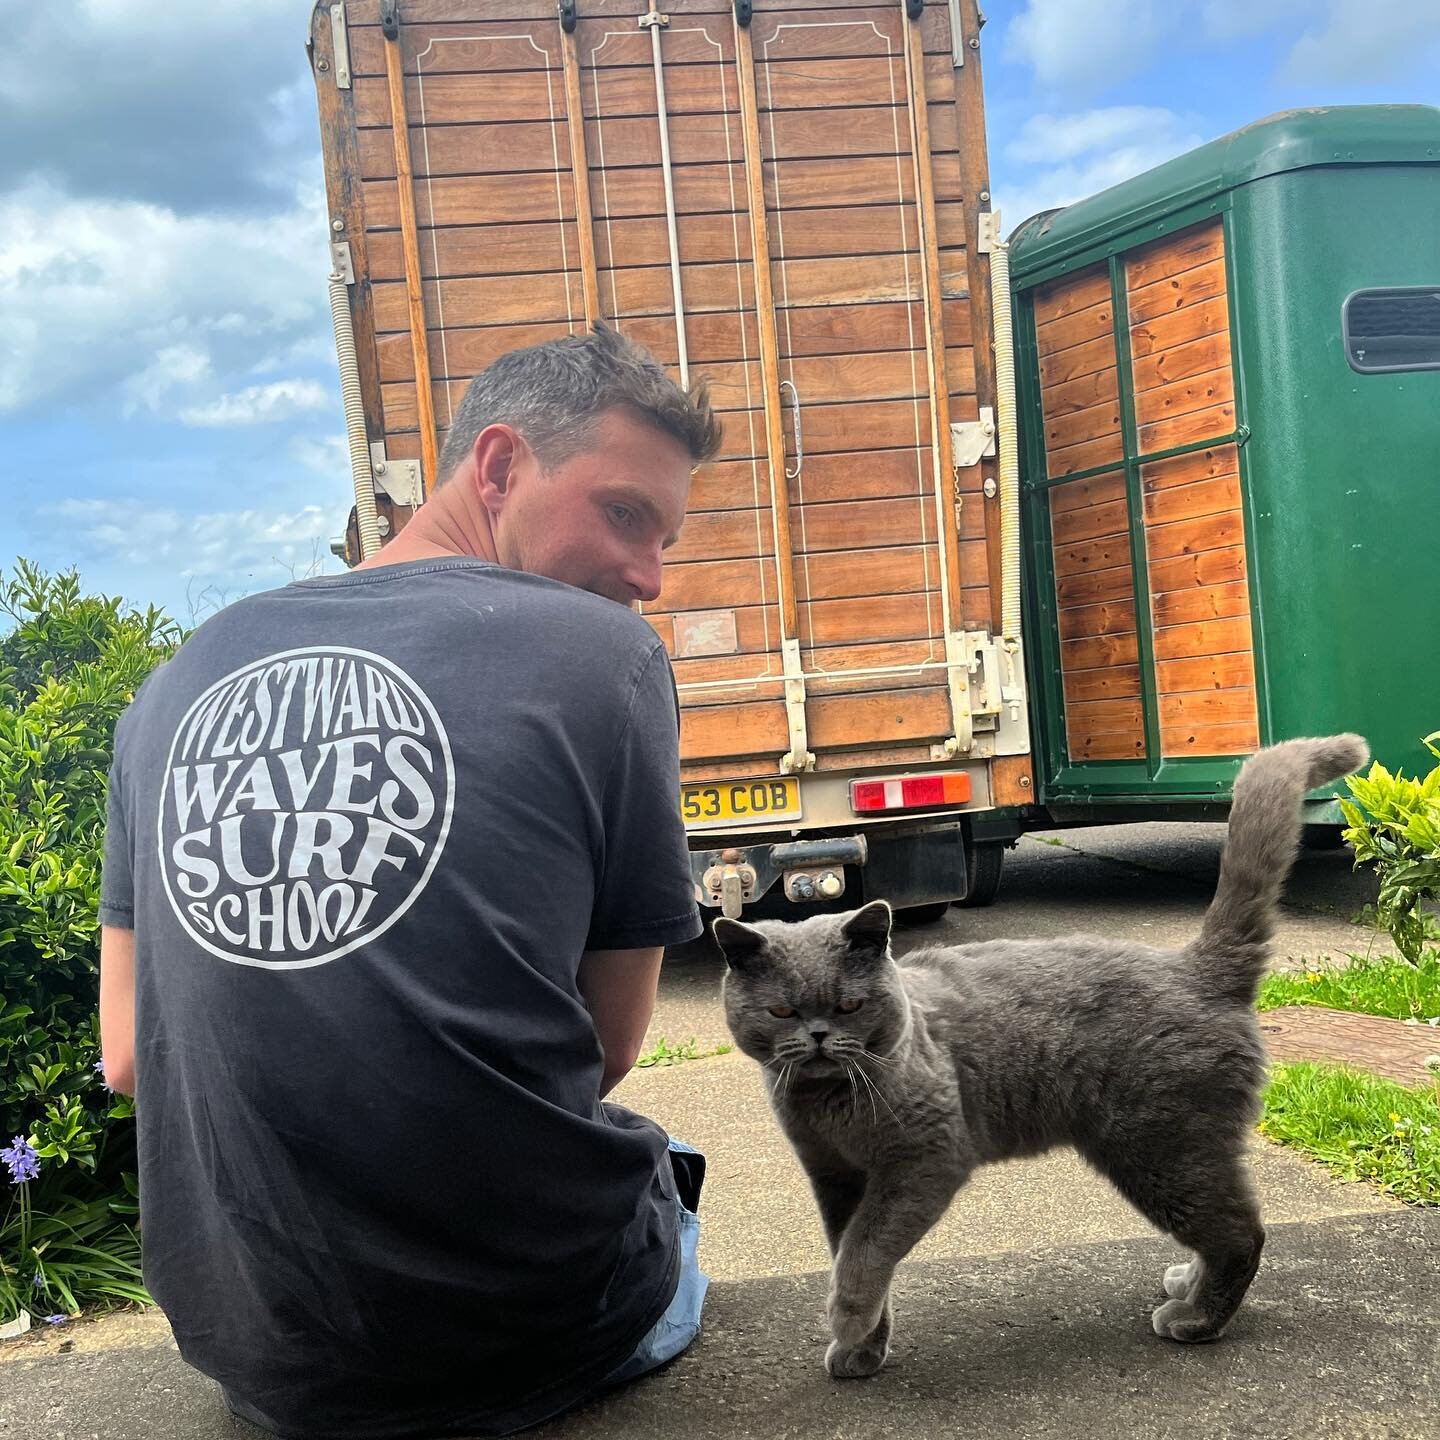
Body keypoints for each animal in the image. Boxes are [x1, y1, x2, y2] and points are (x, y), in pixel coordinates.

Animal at [720, 737, 1370, 1376]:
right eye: (782, 1012)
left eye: (850, 1004)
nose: (819, 1036)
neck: (831, 1105)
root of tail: (1194, 967)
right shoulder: (833, 1175)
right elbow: (847, 1245)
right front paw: (862, 1351)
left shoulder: (925, 1160)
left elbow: (866, 1248)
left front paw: (847, 1320)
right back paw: (1186, 1286)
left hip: (1160, 1147)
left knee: (1242, 1233)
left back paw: (1195, 1320)